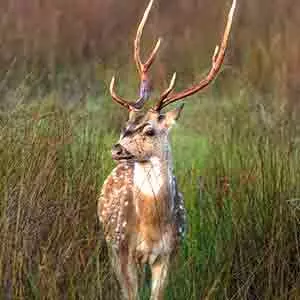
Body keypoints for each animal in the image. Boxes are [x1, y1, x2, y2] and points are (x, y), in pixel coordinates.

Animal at [97, 1, 236, 298]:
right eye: (126, 125)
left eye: (149, 130)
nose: (117, 149)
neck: (151, 228)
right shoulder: (123, 249)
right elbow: (130, 294)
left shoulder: (170, 253)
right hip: (110, 240)